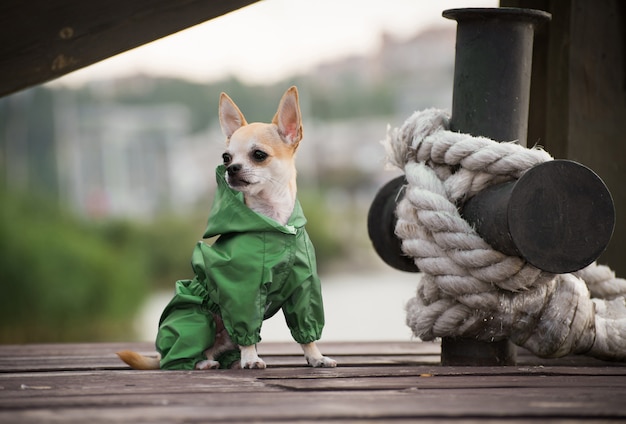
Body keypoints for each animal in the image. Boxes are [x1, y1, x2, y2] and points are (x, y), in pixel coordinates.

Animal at [119, 87, 338, 372]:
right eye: (226, 157)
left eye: (258, 155)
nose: (231, 169)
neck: (275, 223)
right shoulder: (242, 290)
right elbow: (247, 329)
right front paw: (252, 359)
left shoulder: (303, 287)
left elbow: (305, 332)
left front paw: (316, 356)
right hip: (198, 318)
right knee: (176, 359)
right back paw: (203, 363)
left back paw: (231, 361)